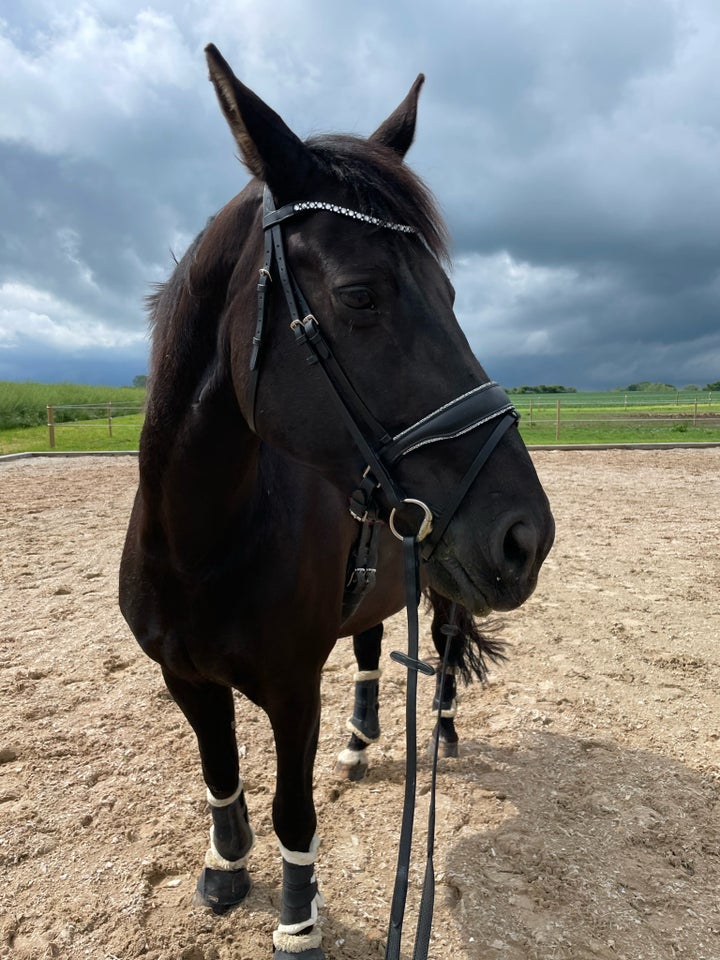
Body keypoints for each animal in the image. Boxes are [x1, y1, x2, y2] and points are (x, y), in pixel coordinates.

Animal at [121, 43, 556, 960]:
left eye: (453, 297)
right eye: (360, 295)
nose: (526, 535)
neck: (200, 545)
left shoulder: (292, 691)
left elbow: (293, 808)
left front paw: (297, 917)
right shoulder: (185, 678)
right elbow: (220, 773)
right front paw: (224, 868)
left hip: (445, 594)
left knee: (442, 653)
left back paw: (443, 734)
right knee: (368, 649)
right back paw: (360, 746)